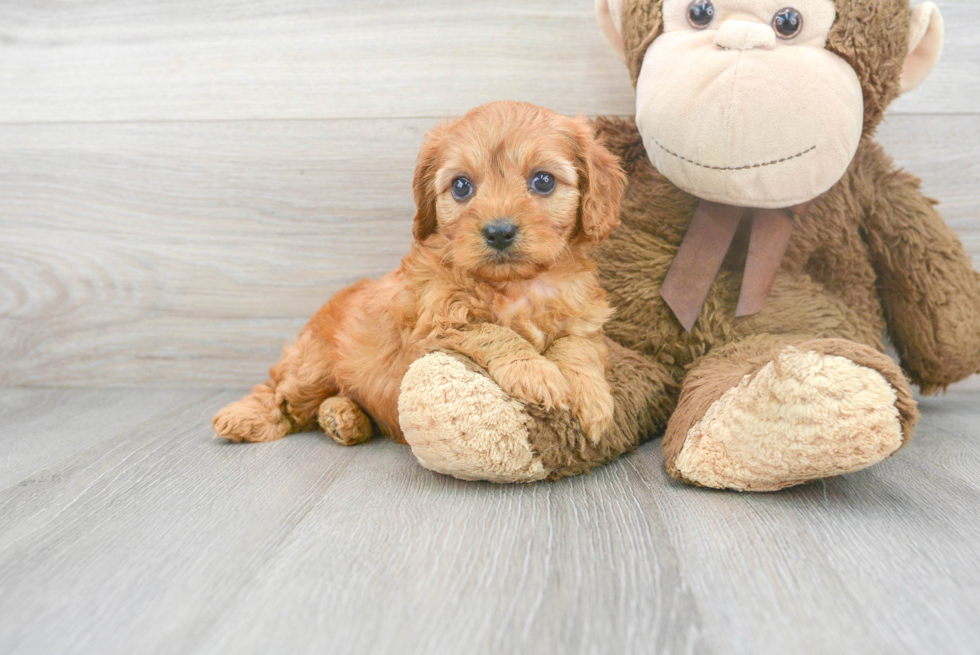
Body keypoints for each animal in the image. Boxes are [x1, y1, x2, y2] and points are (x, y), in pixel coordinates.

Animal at [213, 102, 628, 448]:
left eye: (543, 181)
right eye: (461, 186)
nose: (498, 232)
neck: (517, 284)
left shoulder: (583, 321)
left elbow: (576, 350)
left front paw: (592, 400)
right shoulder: (439, 323)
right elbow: (497, 334)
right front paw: (535, 373)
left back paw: (343, 418)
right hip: (311, 365)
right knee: (279, 392)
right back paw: (245, 418)